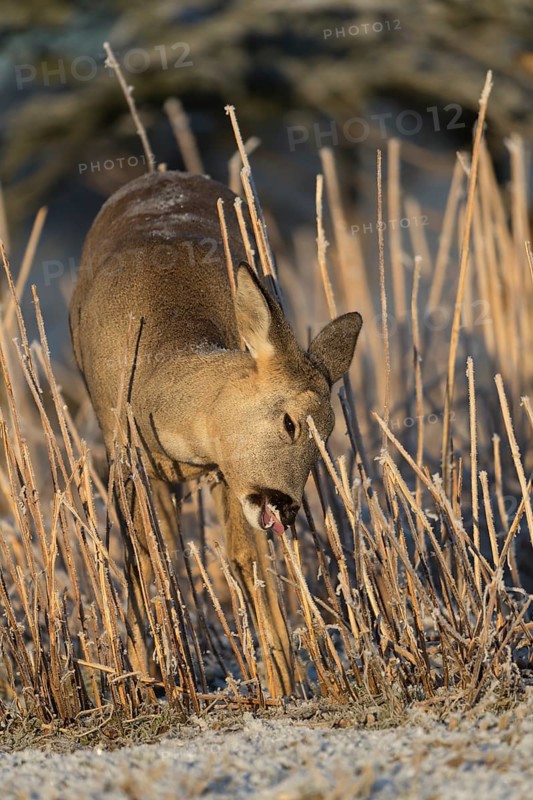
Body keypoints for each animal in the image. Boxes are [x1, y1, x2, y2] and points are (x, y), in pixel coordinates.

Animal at [69, 169, 362, 697]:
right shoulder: (125, 457)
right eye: (290, 422)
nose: (287, 507)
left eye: (328, 437)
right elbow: (145, 558)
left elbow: (247, 561)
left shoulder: (228, 472)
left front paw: (281, 684)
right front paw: (153, 679)